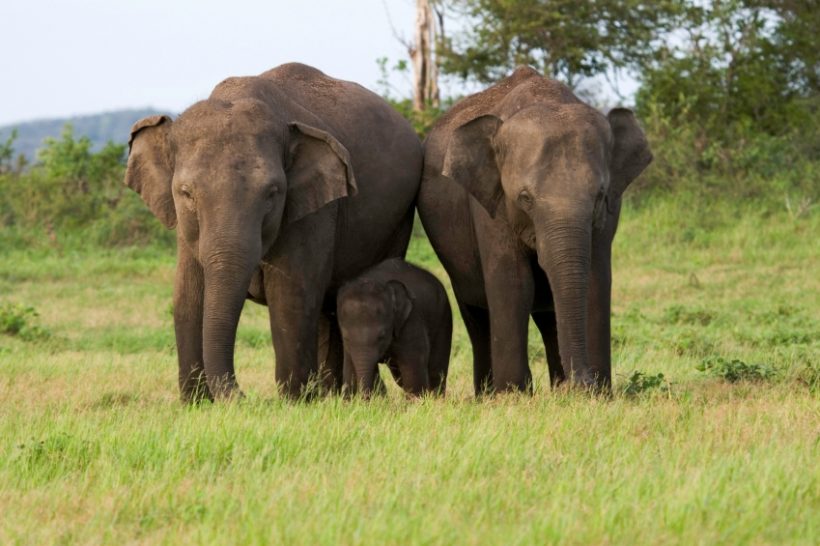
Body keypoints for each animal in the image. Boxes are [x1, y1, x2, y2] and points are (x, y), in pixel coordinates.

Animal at [125, 63, 422, 402]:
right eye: (186, 193)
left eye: (272, 193)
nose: (244, 396)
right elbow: (188, 295)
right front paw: (196, 403)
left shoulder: (314, 209)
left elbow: (290, 294)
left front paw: (294, 401)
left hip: (398, 220)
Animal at [336, 258, 452, 397]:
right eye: (345, 338)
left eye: (382, 336)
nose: (365, 399)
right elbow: (350, 367)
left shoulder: (411, 320)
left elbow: (413, 365)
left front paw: (418, 401)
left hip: (444, 318)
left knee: (436, 370)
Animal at [417, 66, 652, 394]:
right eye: (525, 198)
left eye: (599, 196)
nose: (582, 382)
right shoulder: (491, 204)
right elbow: (514, 283)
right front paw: (513, 395)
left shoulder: (610, 210)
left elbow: (595, 279)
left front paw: (597, 394)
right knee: (476, 311)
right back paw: (488, 395)